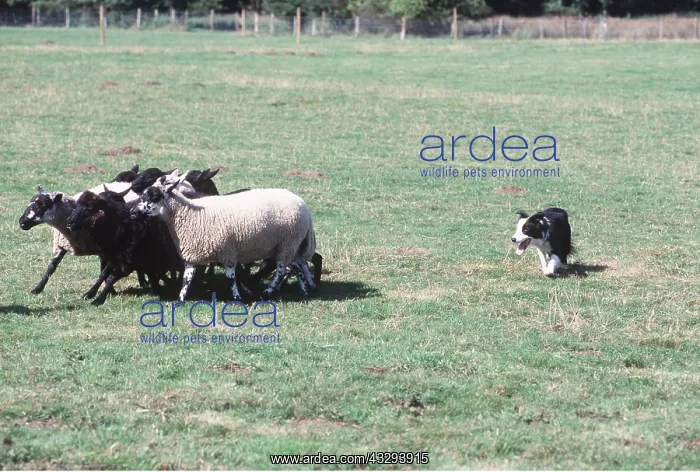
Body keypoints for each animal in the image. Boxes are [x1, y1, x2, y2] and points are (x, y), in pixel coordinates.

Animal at [132, 171, 318, 302]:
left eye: (153, 196)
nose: (132, 212)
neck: (189, 213)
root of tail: (304, 206)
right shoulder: (192, 253)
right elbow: (187, 279)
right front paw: (181, 298)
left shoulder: (227, 251)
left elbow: (231, 278)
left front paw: (237, 297)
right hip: (289, 246)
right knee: (297, 266)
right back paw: (304, 291)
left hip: (287, 244)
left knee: (281, 270)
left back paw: (268, 292)